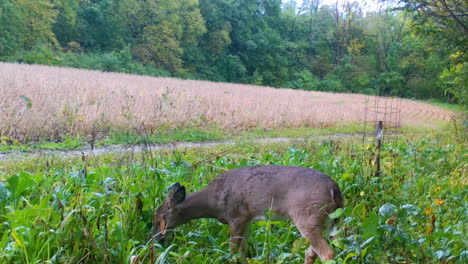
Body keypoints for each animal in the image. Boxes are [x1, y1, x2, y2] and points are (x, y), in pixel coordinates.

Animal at [152, 164, 342, 262]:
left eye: (159, 217)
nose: (155, 240)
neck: (214, 200)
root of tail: (335, 189)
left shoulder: (236, 215)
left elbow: (232, 250)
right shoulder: (248, 218)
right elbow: (243, 249)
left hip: (306, 215)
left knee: (327, 253)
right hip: (326, 220)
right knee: (311, 252)